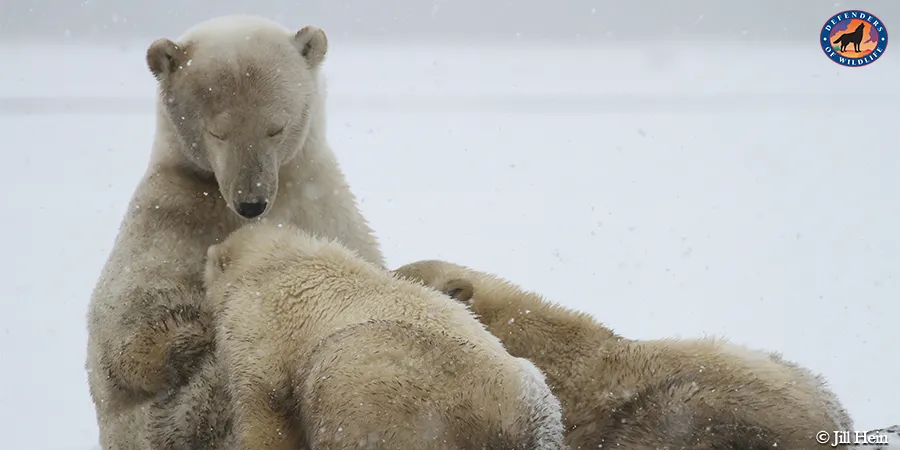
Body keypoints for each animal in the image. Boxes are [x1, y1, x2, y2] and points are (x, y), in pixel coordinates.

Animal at [87, 14, 386, 450]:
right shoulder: (165, 214)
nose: (251, 202)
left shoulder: (323, 205)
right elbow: (133, 325)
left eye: (276, 128)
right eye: (218, 132)